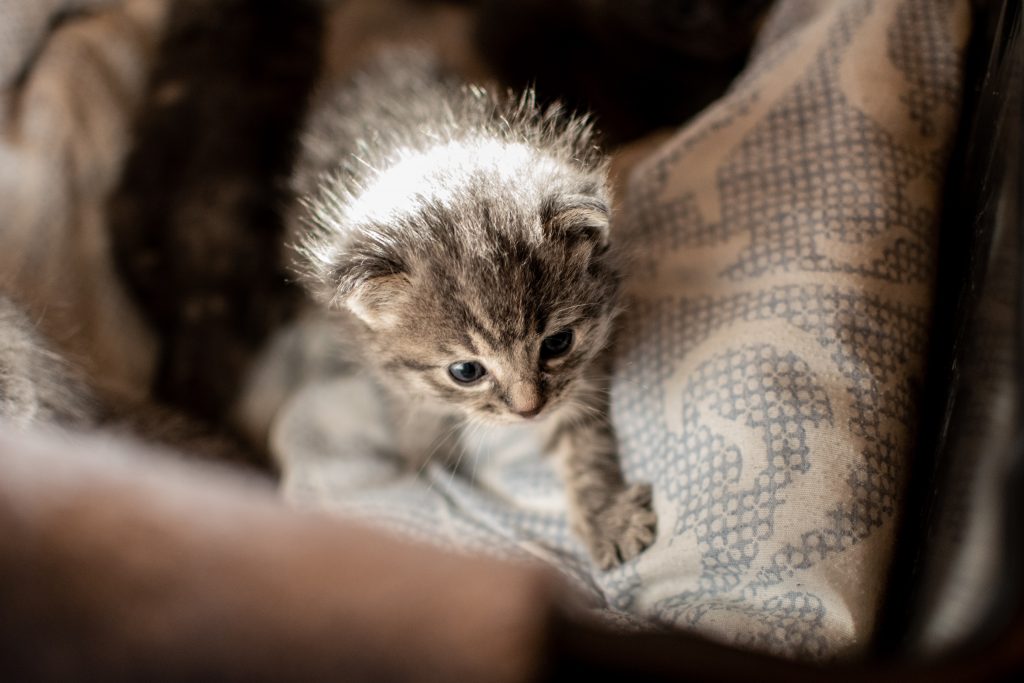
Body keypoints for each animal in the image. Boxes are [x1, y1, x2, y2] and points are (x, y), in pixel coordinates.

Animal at [288, 50, 655, 569]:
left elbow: (582, 434)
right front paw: (429, 467)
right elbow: (418, 418)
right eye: (466, 371)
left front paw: (605, 515)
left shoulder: (582, 368)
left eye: (558, 343)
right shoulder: (390, 373)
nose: (529, 411)